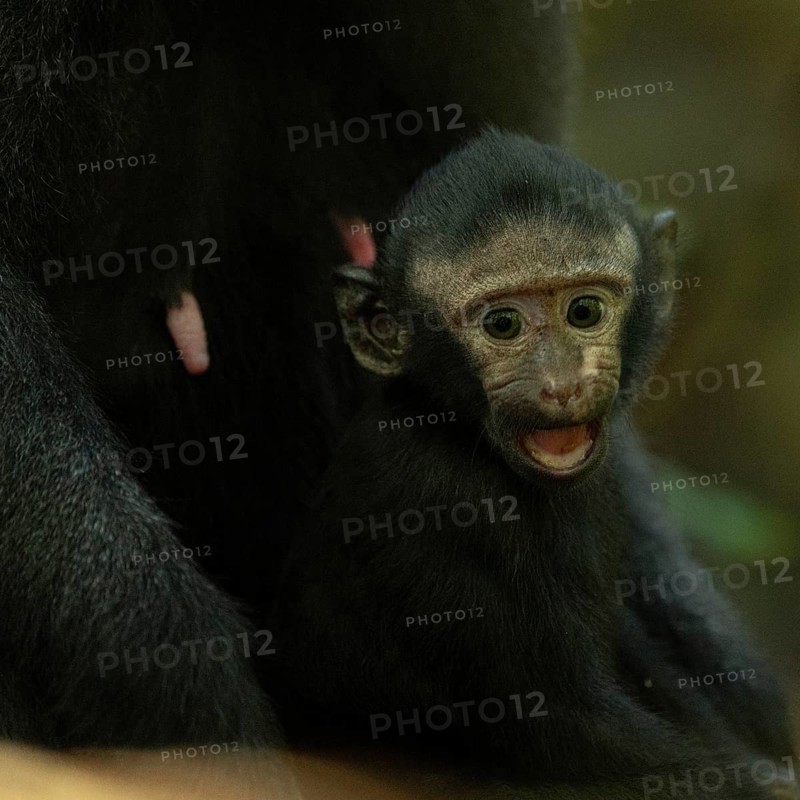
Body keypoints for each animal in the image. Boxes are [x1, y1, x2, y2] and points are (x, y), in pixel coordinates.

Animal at [267, 129, 796, 798]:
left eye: (584, 312)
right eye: (502, 324)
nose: (562, 385)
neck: (453, 424)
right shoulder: (447, 501)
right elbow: (567, 730)